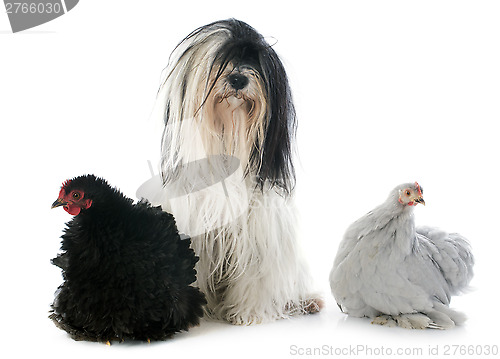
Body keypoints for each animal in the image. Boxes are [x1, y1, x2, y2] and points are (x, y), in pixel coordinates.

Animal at [146, 18, 322, 324]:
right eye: (221, 60)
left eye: (256, 62)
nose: (238, 79)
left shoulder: (259, 230)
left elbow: (255, 275)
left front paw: (248, 314)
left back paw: (305, 301)